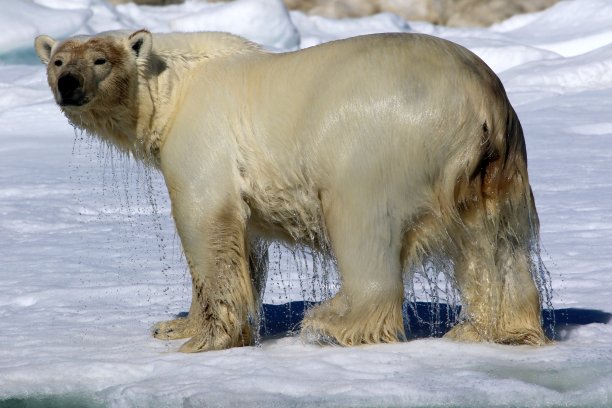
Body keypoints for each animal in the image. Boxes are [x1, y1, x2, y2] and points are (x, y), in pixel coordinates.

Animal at [33, 30, 548, 352]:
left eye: (100, 60)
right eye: (58, 60)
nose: (68, 83)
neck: (175, 85)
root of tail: (480, 102)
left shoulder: (203, 136)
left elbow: (205, 225)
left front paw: (206, 339)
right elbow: (244, 246)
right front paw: (173, 325)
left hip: (379, 141)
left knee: (361, 224)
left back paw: (331, 322)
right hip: (497, 165)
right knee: (495, 244)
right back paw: (493, 330)